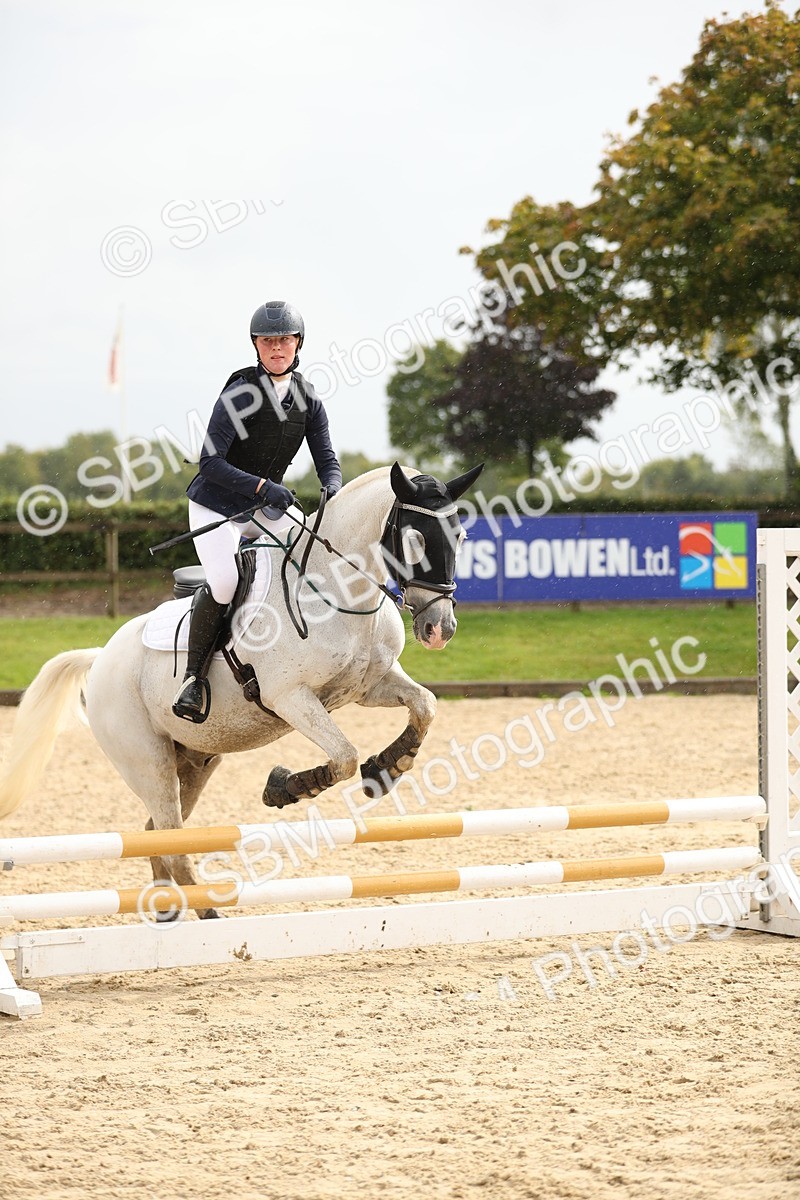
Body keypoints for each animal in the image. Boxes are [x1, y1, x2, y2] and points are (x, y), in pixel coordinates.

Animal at [0, 463, 483, 915]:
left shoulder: (369, 685)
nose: (439, 629)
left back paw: (169, 910)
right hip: (147, 761)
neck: (338, 589)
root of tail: (100, 657)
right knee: (172, 837)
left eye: (460, 536)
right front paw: (287, 787)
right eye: (415, 539)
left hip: (195, 761)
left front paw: (388, 766)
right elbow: (343, 757)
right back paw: (208, 914)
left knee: (159, 834)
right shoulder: (289, 697)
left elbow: (425, 706)